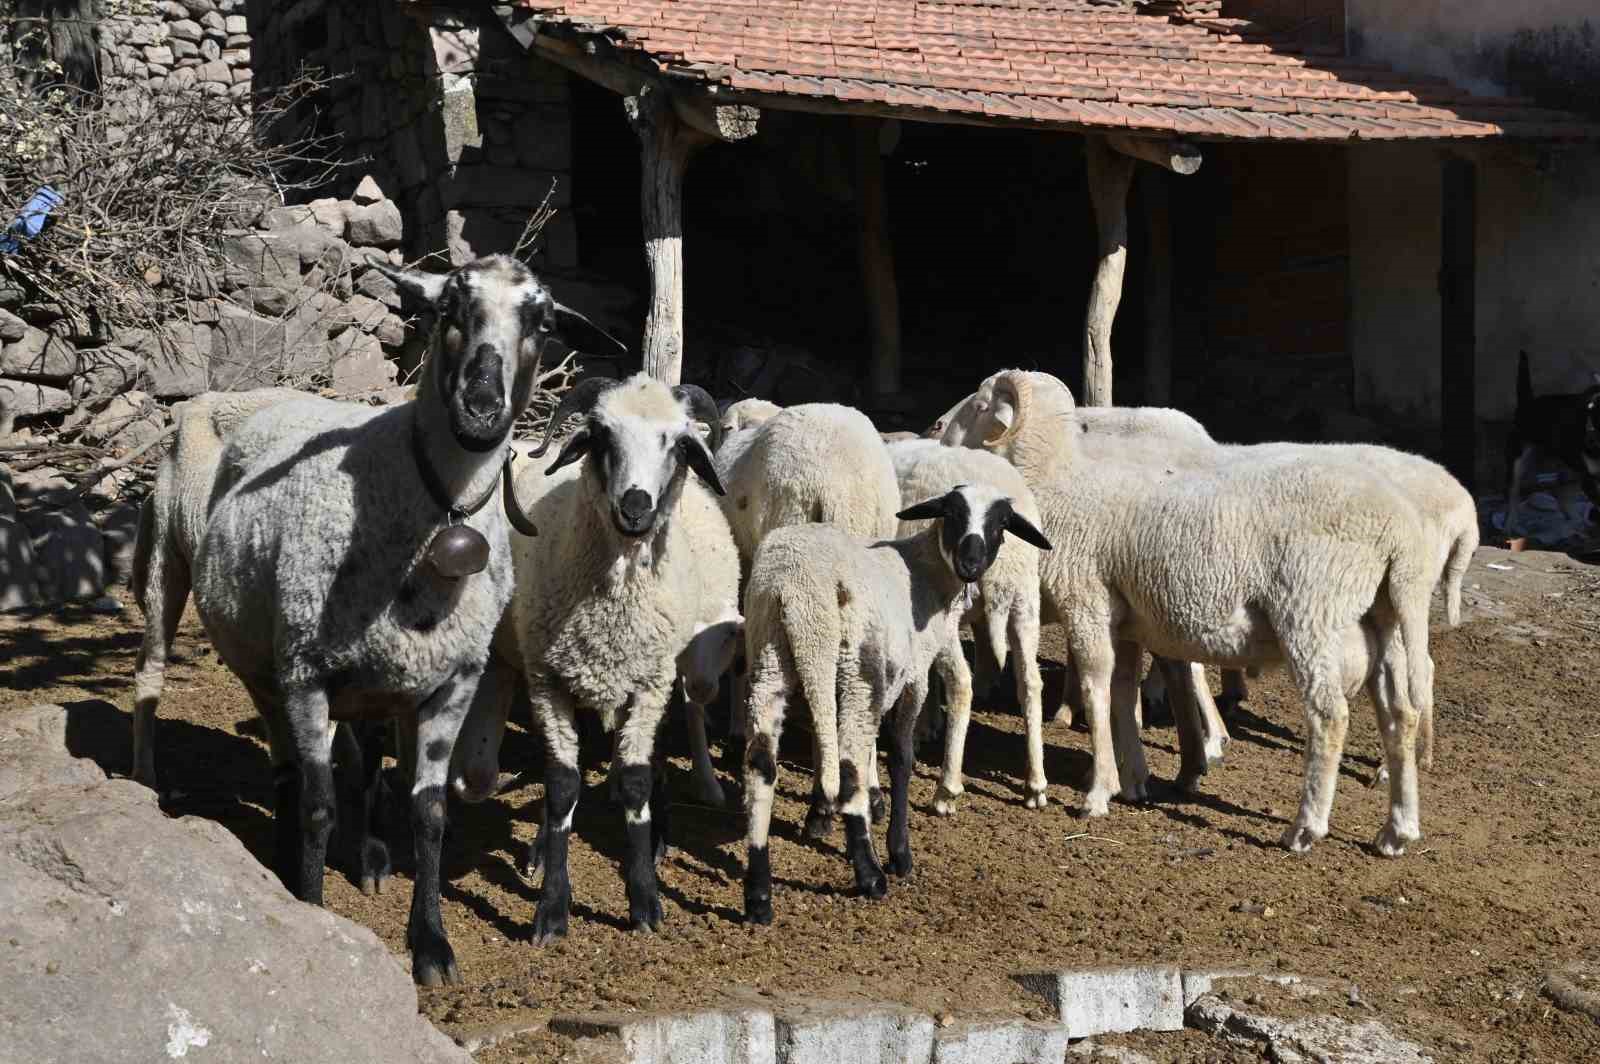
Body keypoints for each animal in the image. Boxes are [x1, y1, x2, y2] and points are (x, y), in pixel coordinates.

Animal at [184, 252, 614, 985]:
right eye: (449, 308)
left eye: (543, 321)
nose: (481, 408)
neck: (439, 509)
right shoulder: (306, 673)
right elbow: (319, 806)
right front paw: (311, 908)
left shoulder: (454, 681)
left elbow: (431, 811)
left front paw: (431, 944)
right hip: (265, 671)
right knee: (291, 776)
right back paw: (287, 860)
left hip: (375, 682)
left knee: (365, 763)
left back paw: (372, 857)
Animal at [505, 371, 736, 940]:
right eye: (601, 436)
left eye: (678, 443)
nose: (635, 508)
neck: (614, 608)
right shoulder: (548, 680)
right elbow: (562, 784)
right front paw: (551, 906)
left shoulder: (649, 682)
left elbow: (634, 781)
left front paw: (645, 900)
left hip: (675, 669)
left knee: (660, 750)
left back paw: (659, 839)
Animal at [742, 483, 1056, 921]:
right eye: (952, 513)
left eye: (1001, 523)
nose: (971, 563)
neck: (925, 571)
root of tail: (798, 592)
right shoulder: (914, 677)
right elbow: (902, 759)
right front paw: (898, 850)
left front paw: (840, 810)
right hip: (858, 669)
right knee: (847, 764)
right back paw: (871, 874)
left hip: (770, 655)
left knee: (762, 765)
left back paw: (758, 894)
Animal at [889, 438, 1049, 812]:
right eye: (951, 515)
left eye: (1000, 523)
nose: (970, 564)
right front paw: (925, 724)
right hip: (1023, 604)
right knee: (1029, 683)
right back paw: (1035, 783)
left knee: (967, 683)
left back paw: (947, 786)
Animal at [947, 368, 1440, 857]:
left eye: (979, 405)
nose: (935, 428)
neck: (1059, 477)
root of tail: (1400, 533)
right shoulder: (1125, 617)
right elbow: (1122, 692)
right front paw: (1133, 781)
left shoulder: (1086, 600)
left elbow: (1095, 686)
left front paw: (1097, 792)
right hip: (1384, 621)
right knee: (1400, 715)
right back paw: (1397, 831)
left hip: (1311, 614)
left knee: (1330, 716)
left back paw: (1305, 828)